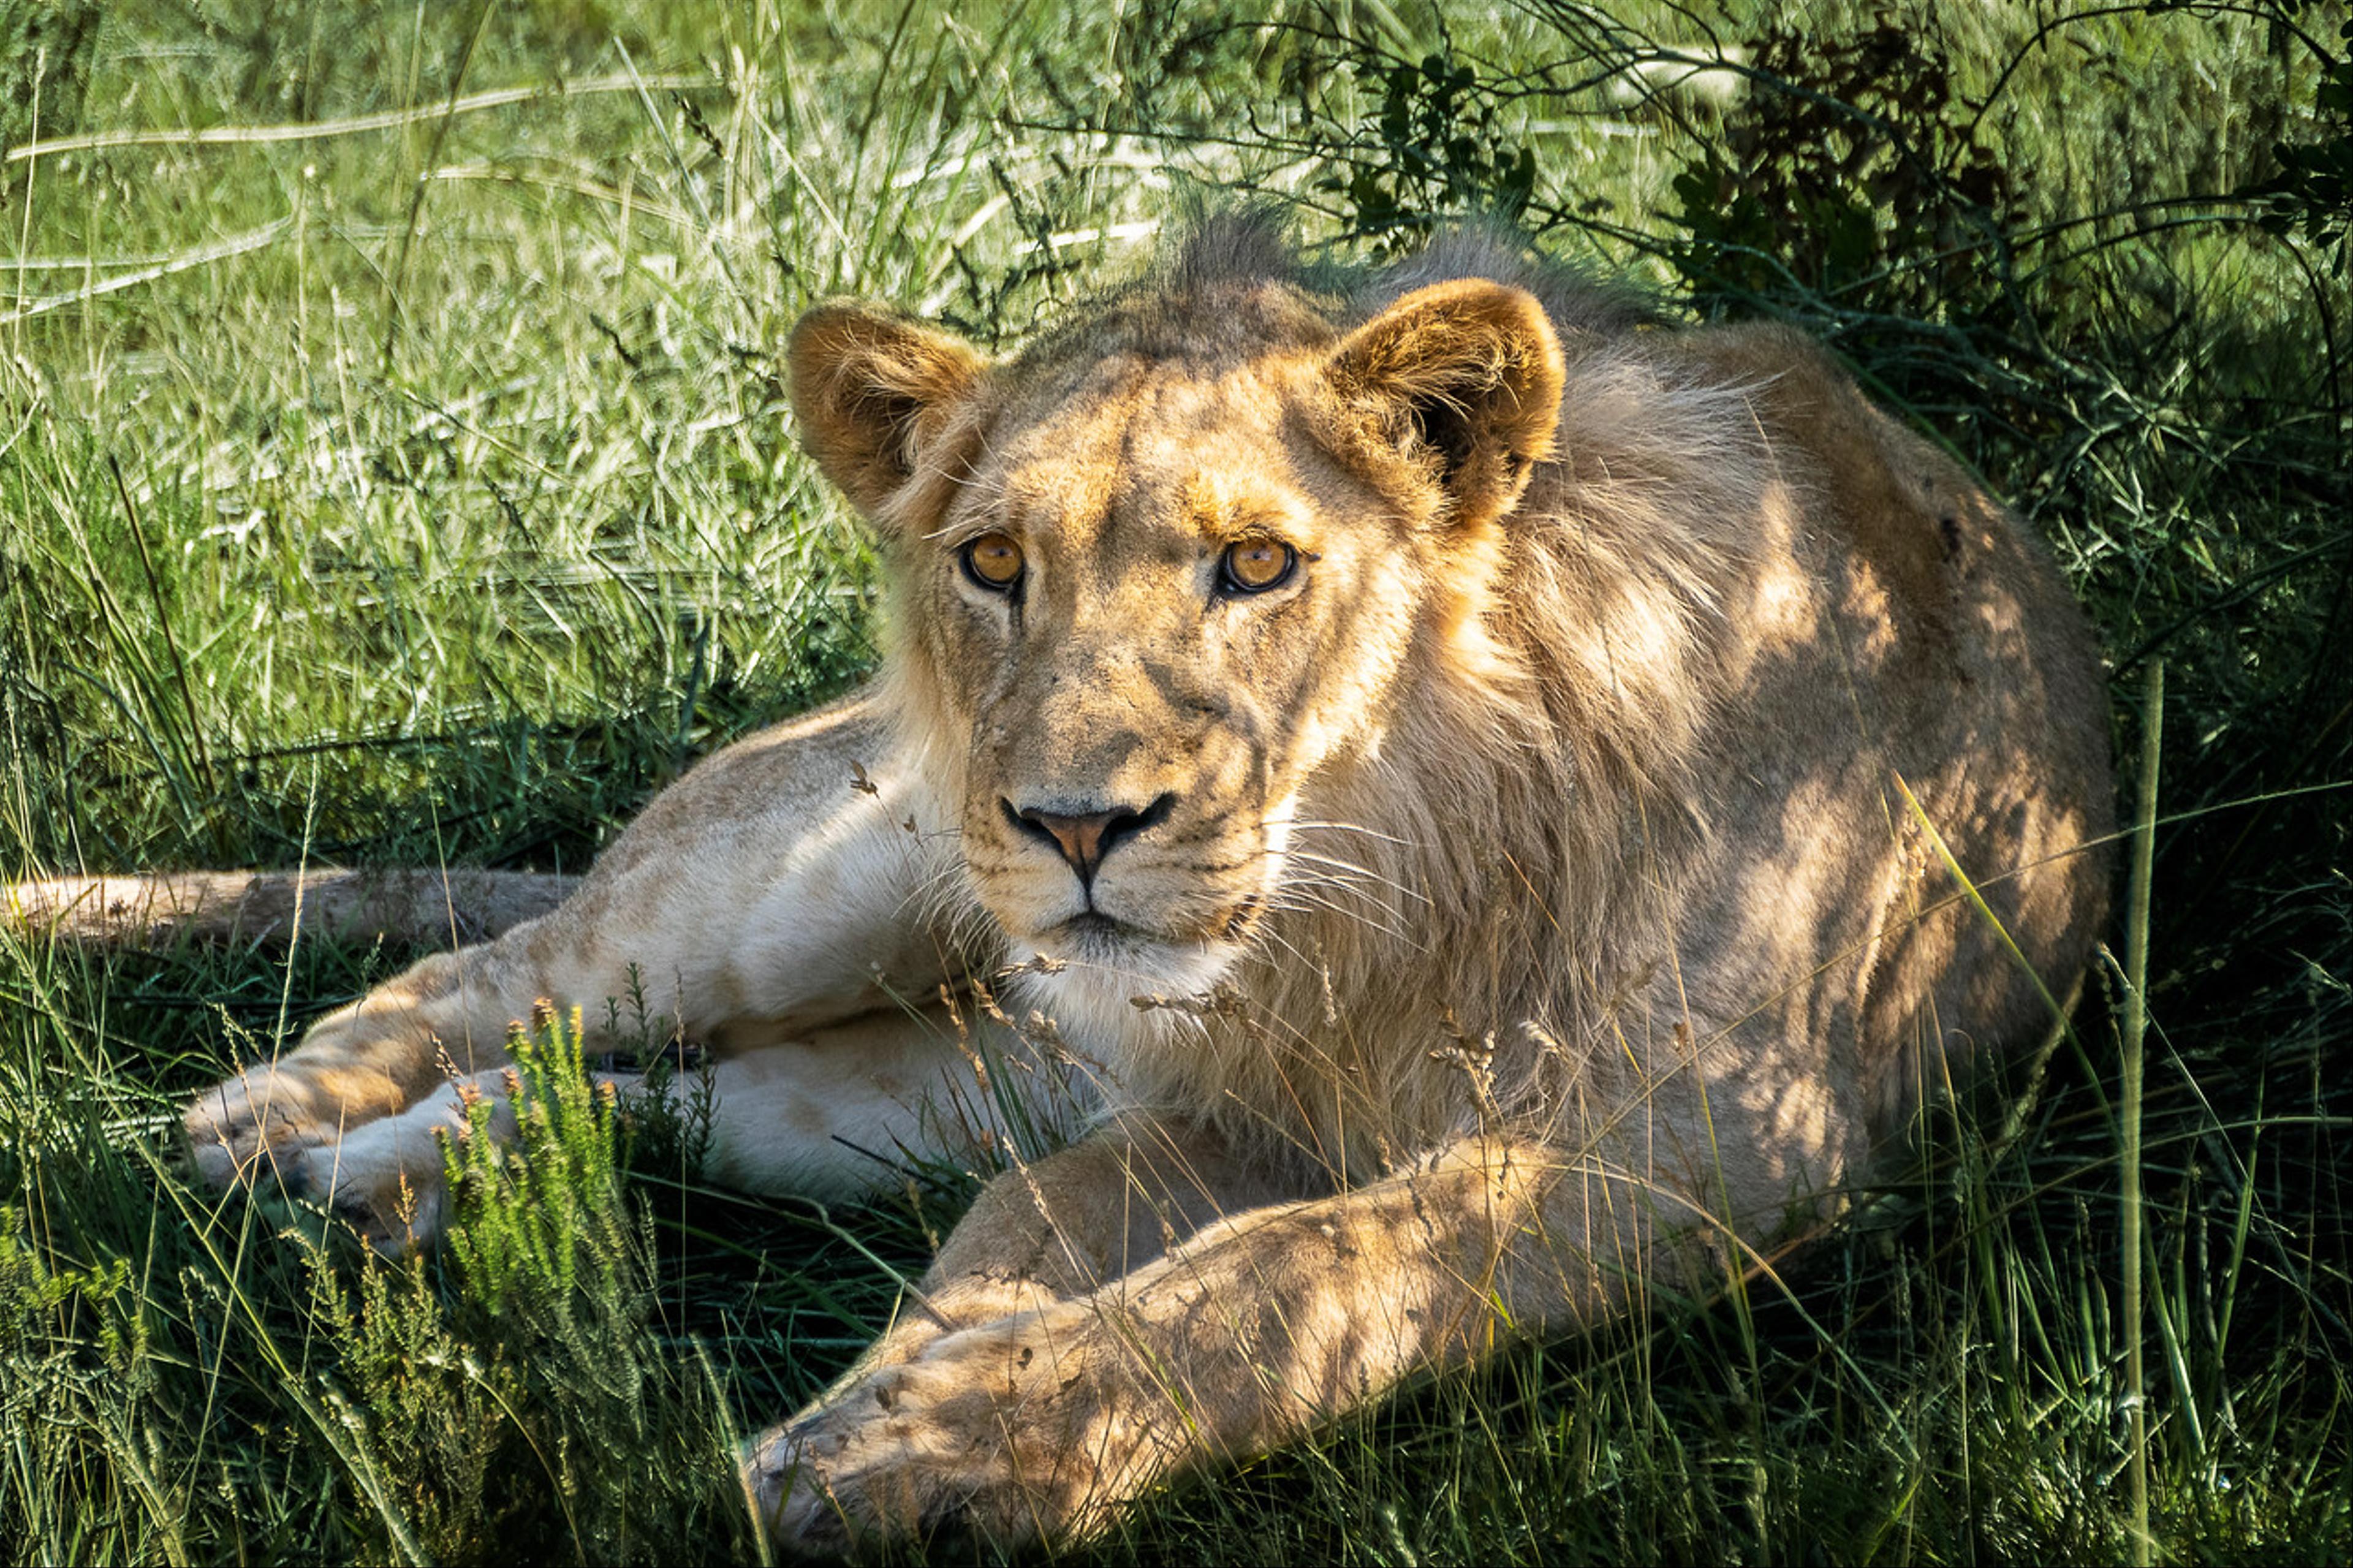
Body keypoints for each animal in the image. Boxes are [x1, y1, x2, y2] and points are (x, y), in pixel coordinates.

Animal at [9, 220, 2118, 1553]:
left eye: (1258, 564)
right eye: (994, 560)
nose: (1072, 825)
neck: (1386, 886)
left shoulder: (1707, 1134)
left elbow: (1289, 1273)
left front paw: (920, 1428)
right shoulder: (1228, 1110)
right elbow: (1096, 1249)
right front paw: (904, 1419)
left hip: (949, 1070)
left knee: (689, 1098)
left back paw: (404, 1179)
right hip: (823, 874)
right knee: (523, 967)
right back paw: (273, 1131)